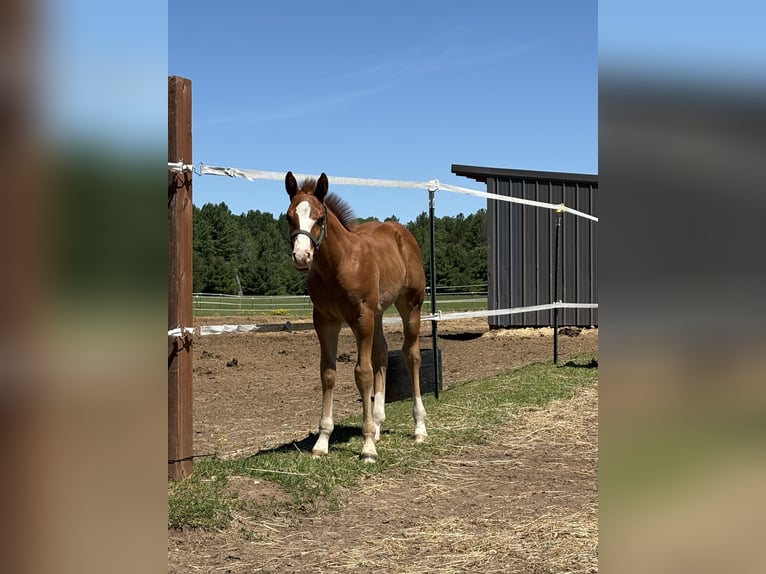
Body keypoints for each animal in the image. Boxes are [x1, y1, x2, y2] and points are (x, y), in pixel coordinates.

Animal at [285, 171, 428, 463]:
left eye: (320, 218)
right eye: (288, 217)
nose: (302, 256)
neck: (337, 265)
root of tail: (401, 232)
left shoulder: (362, 318)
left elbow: (363, 373)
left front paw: (368, 447)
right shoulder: (325, 321)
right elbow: (328, 373)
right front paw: (322, 442)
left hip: (410, 306)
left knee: (412, 356)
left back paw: (419, 428)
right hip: (379, 312)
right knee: (382, 355)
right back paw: (379, 424)